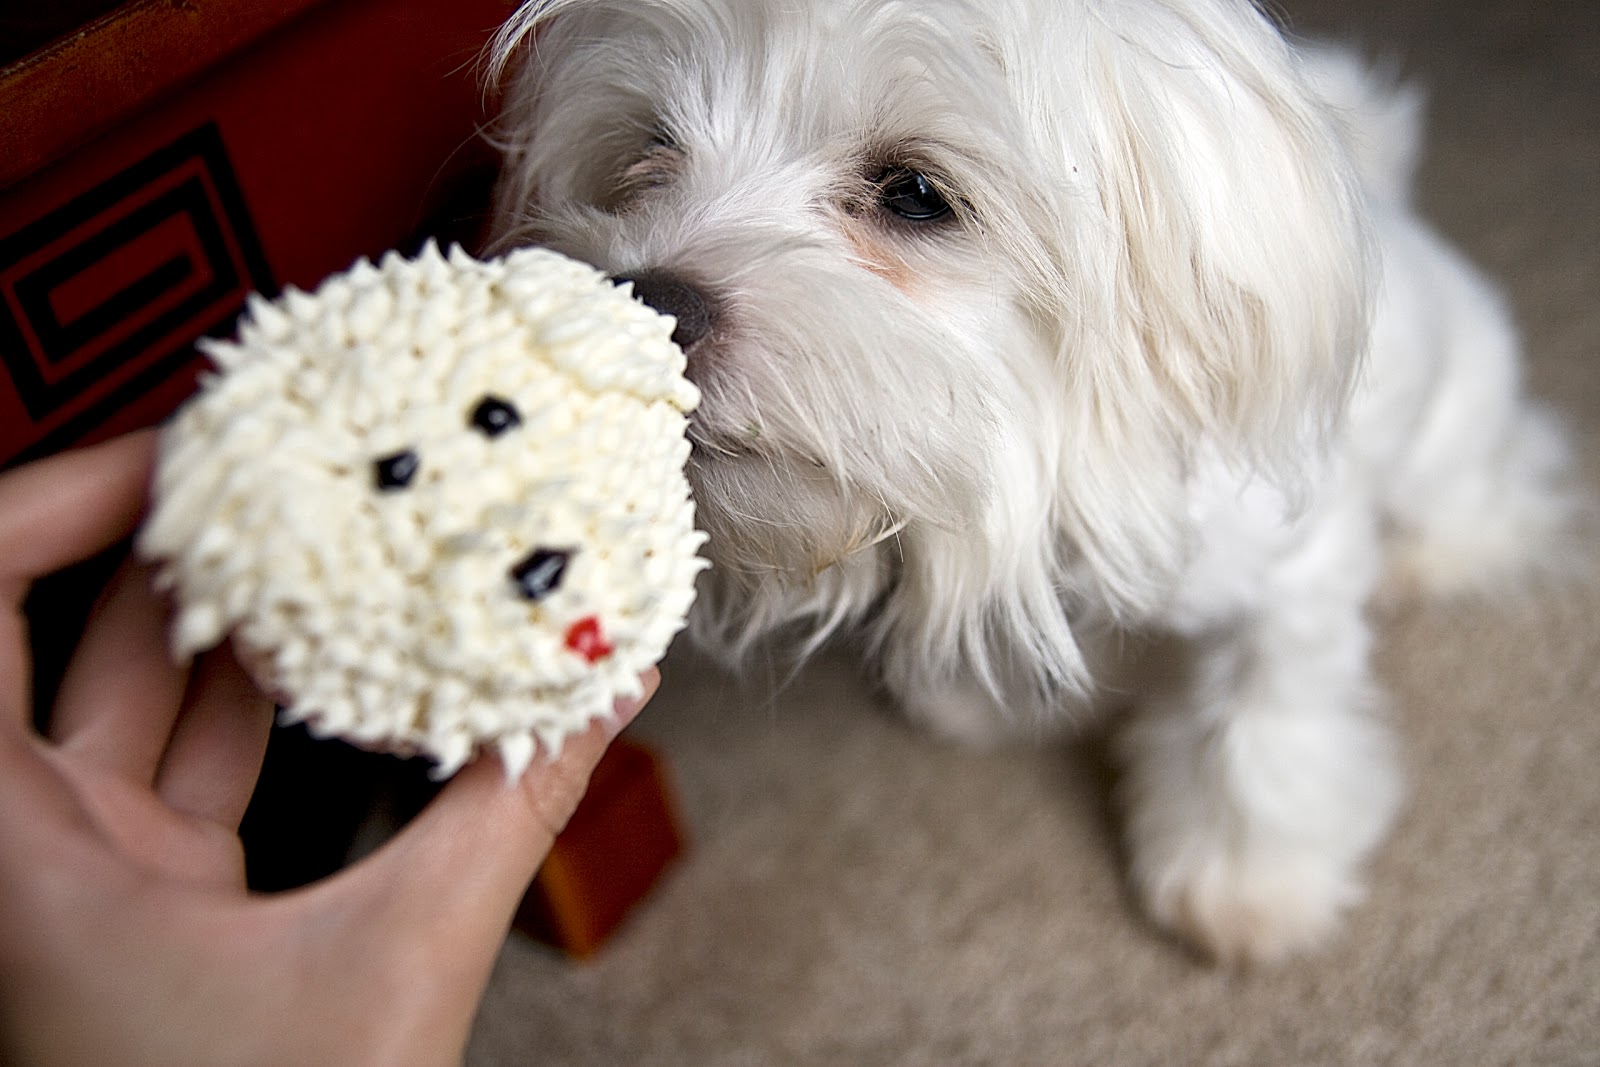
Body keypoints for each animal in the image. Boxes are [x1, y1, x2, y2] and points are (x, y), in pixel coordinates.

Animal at [480, 0, 1568, 966]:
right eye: (647, 152)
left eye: (917, 191)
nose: (637, 303)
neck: (1039, 452)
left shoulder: (1292, 581)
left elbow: (1260, 732)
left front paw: (1249, 882)